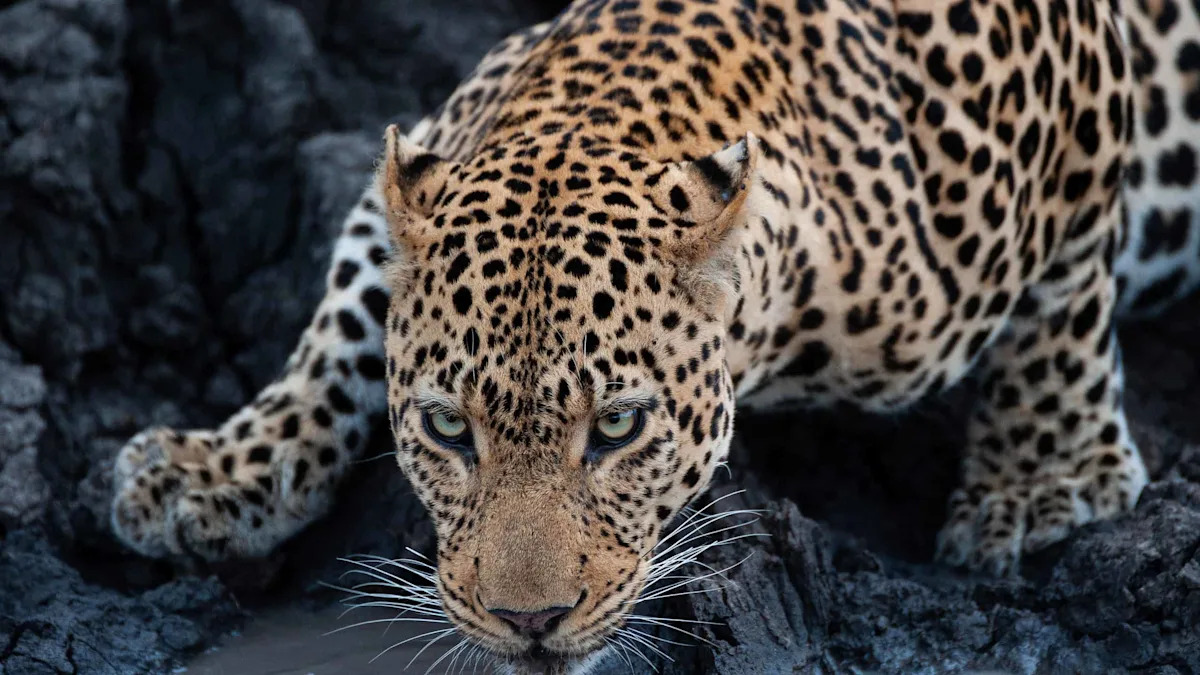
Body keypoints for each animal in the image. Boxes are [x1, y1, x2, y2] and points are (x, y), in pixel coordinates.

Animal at [110, 0, 1200, 672]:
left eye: (620, 428)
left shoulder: (1071, 77)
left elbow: (1065, 289)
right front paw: (215, 472)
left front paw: (1042, 479)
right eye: (449, 429)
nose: (531, 623)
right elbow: (339, 321)